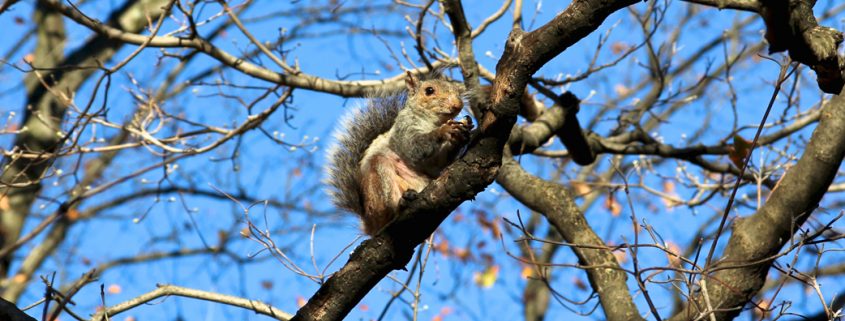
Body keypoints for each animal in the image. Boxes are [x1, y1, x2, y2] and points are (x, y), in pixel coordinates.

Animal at [324, 71, 472, 234]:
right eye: (429, 90)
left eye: (457, 91)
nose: (457, 104)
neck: (434, 122)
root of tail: (370, 225)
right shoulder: (404, 130)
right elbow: (415, 147)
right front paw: (444, 130)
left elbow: (440, 163)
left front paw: (462, 133)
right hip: (379, 180)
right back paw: (400, 204)